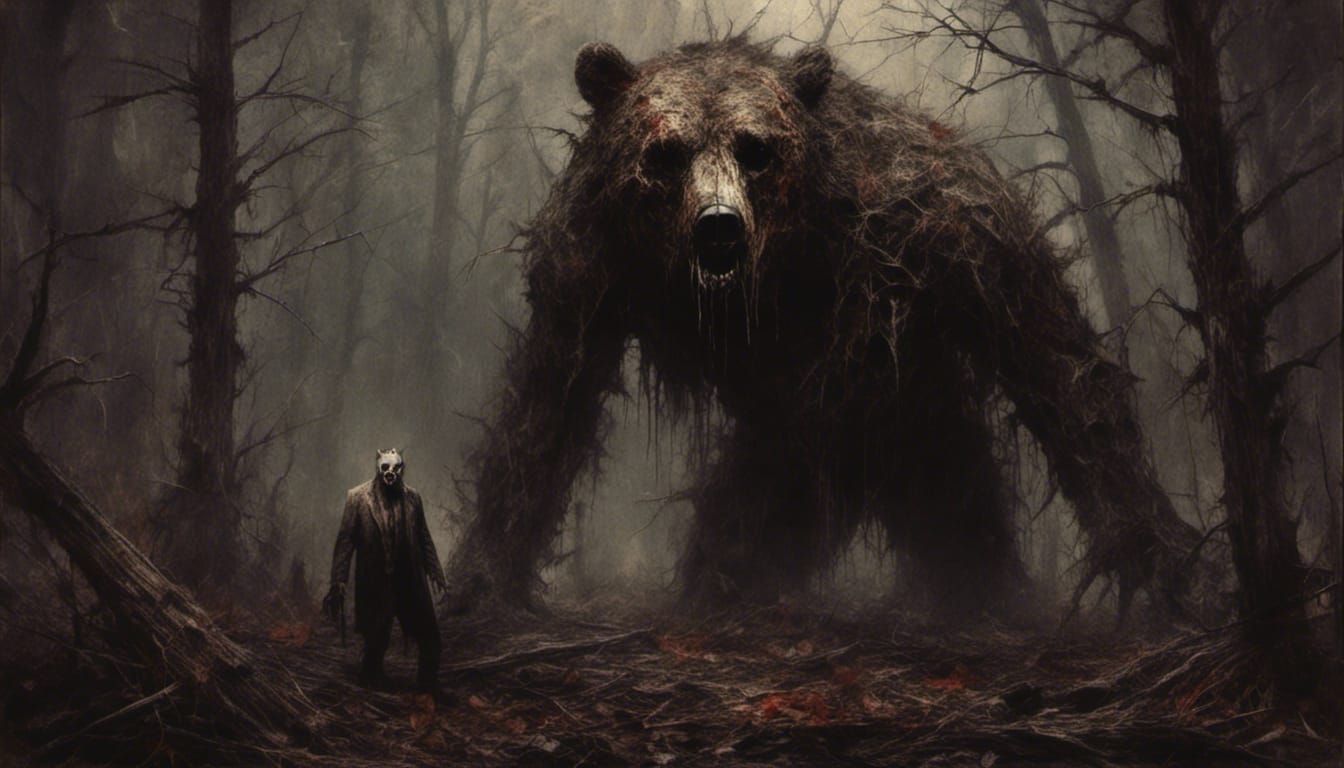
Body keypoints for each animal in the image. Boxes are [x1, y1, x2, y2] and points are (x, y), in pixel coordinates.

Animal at [447, 37, 1199, 618]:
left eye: (756, 149)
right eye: (666, 151)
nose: (718, 225)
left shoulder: (898, 249)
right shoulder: (592, 258)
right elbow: (549, 404)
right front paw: (482, 582)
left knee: (1048, 389)